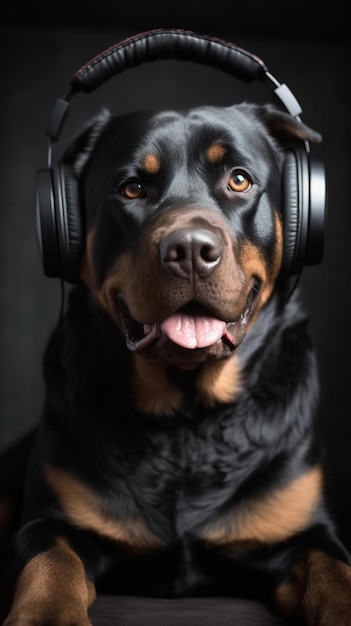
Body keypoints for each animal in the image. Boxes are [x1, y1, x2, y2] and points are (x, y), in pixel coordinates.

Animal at [2, 100, 351, 620]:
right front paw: (46, 614)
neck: (187, 422)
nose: (189, 250)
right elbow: (50, 565)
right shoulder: (47, 522)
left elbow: (338, 573)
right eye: (132, 188)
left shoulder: (310, 532)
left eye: (239, 180)